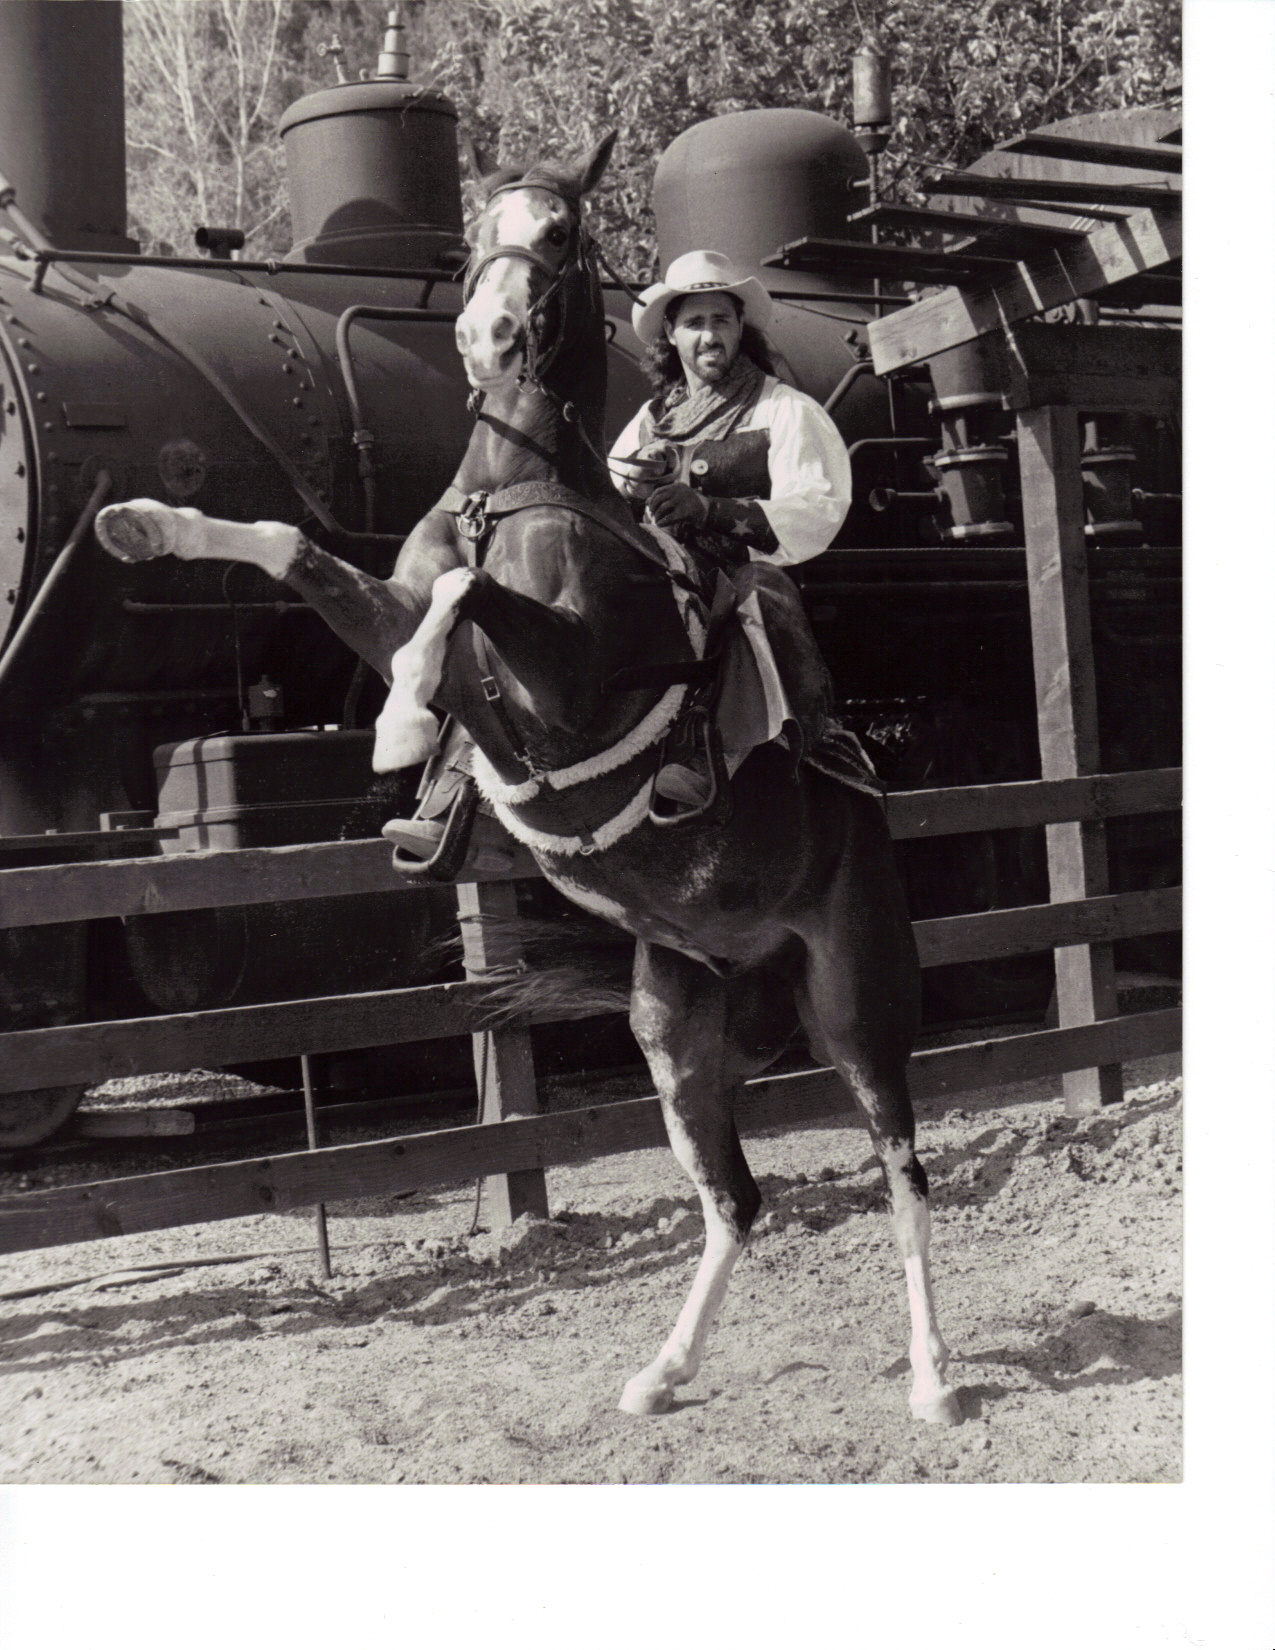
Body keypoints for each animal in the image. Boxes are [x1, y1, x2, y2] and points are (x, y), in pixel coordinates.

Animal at [94, 135, 963, 1425]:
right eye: (475, 233)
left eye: (556, 234)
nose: (486, 335)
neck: (514, 485)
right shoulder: (392, 603)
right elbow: (308, 550)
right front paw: (144, 526)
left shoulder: (568, 677)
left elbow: (463, 603)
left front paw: (404, 722)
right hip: (676, 1026)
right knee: (736, 1197)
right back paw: (664, 1371)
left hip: (859, 1001)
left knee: (901, 1169)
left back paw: (934, 1376)